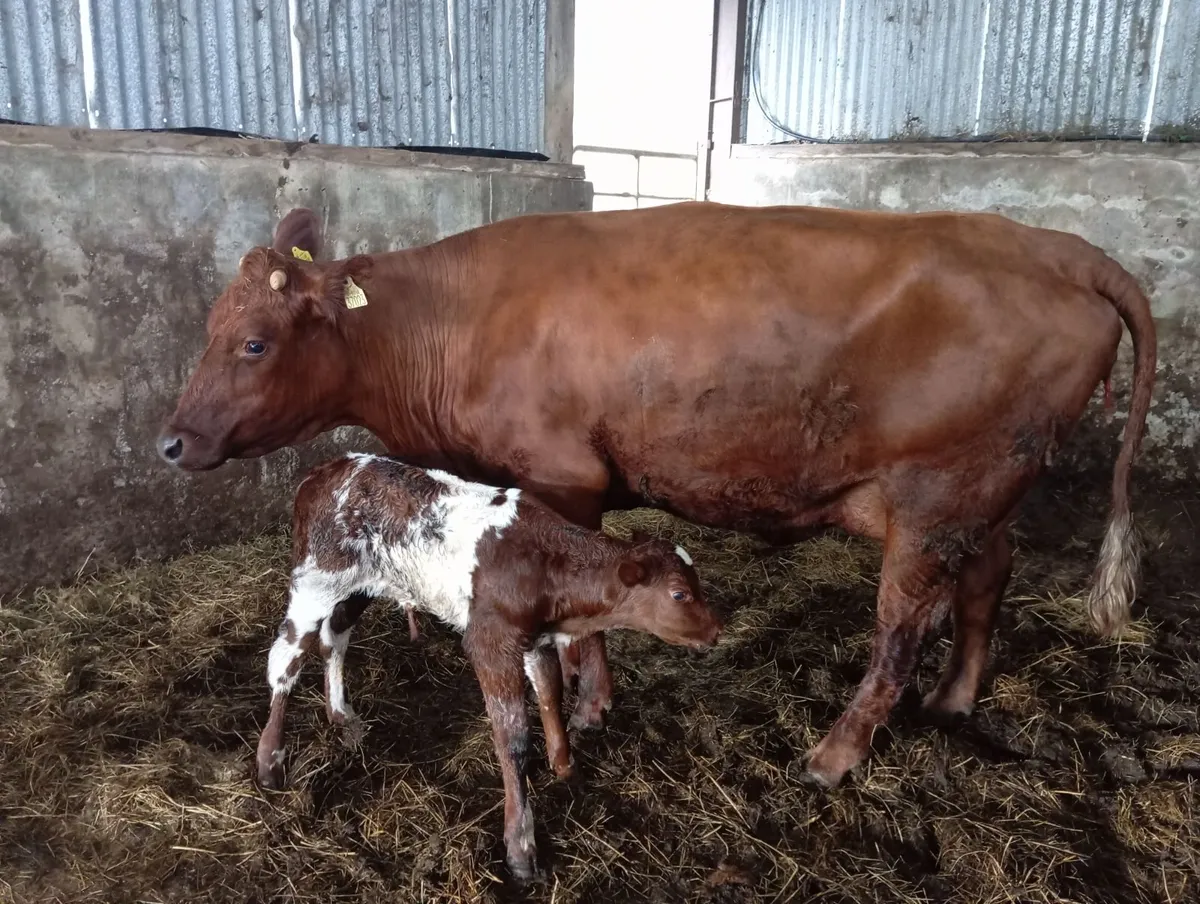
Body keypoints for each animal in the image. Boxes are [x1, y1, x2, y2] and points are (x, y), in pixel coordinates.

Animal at [159, 200, 1155, 790]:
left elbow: (588, 615)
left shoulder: (563, 477)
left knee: (900, 631)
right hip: (986, 494)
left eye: (253, 342)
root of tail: (1052, 245)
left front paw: (590, 707)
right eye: (208, 327)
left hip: (935, 501)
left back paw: (835, 754)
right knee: (987, 583)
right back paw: (953, 702)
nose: (172, 441)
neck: (456, 321)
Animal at [254, 452, 721, 880]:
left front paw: (565, 768)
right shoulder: (490, 643)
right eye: (679, 594)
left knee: (334, 637)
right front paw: (521, 847)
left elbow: (550, 692)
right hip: (316, 579)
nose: (716, 631)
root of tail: (327, 469)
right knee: (286, 657)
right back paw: (271, 762)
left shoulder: (534, 639)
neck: (546, 565)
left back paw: (340, 714)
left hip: (360, 585)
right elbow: (512, 737)